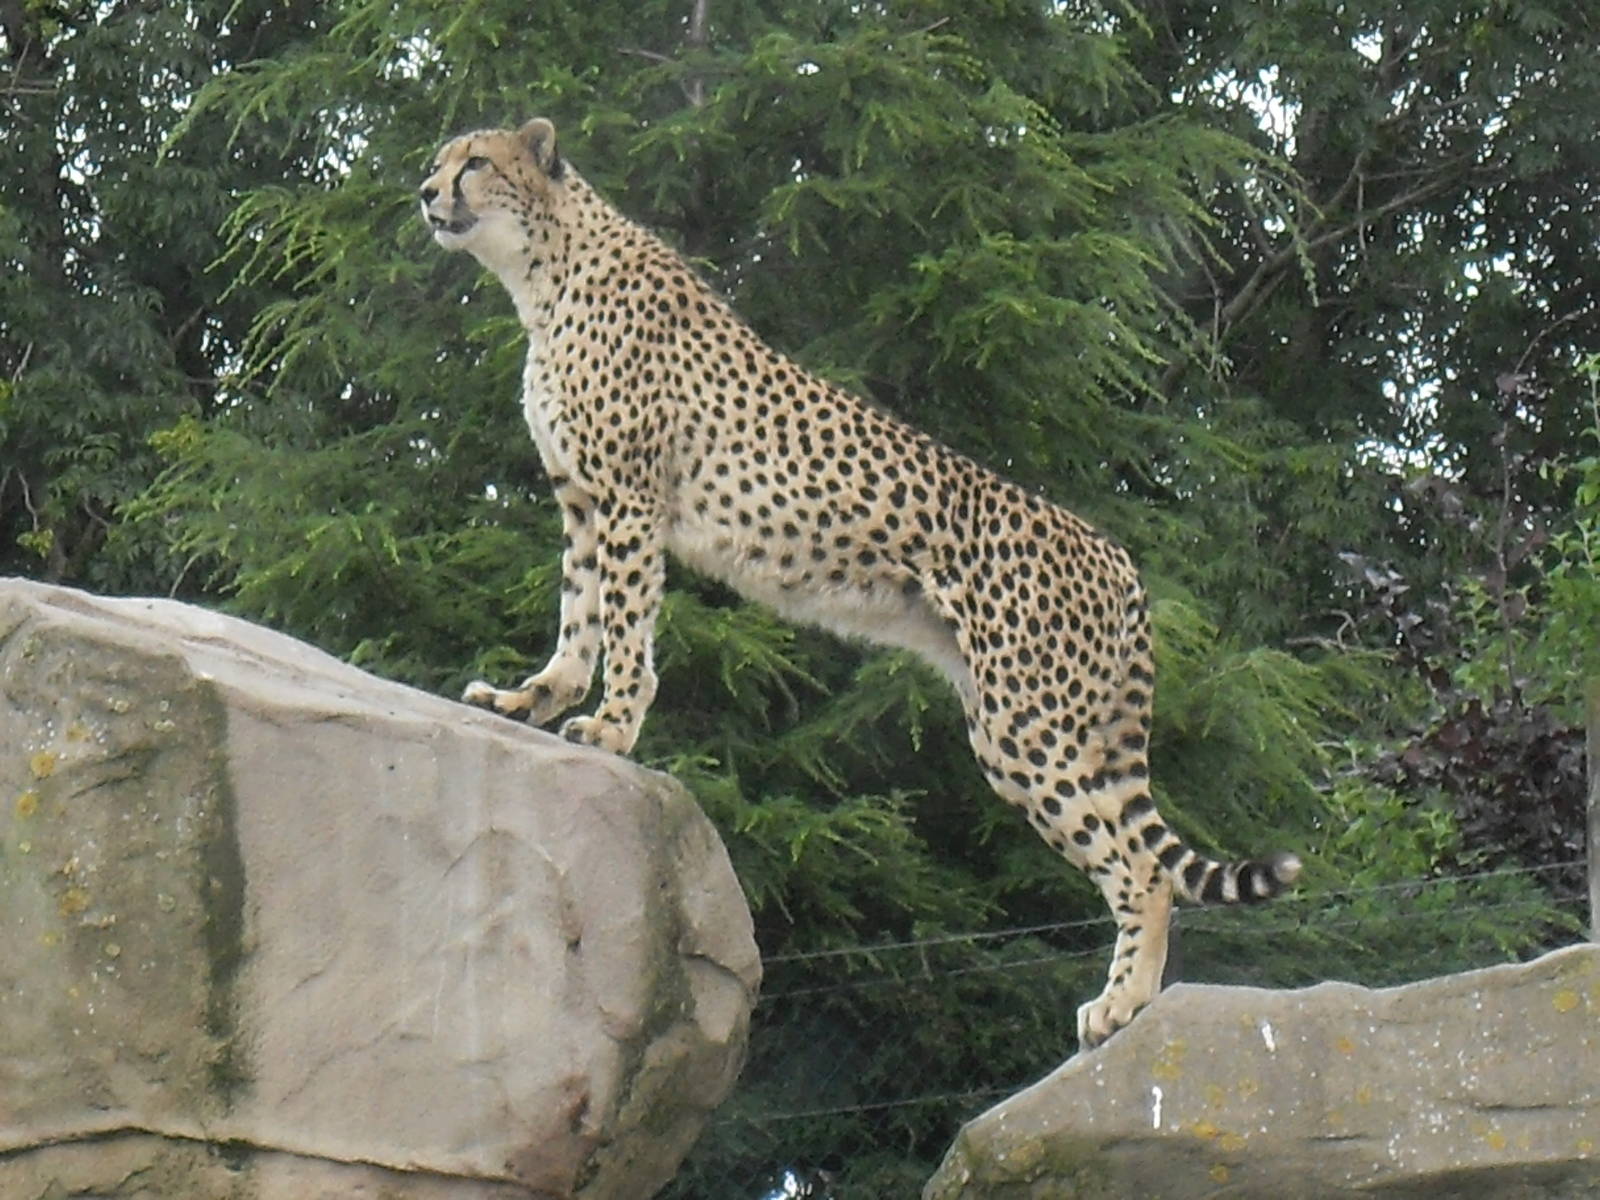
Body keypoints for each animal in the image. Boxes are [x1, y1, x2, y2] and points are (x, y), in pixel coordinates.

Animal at [418, 117, 1301, 1048]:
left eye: (475, 164)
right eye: (443, 161)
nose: (426, 192)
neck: (543, 268)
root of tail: (1119, 557)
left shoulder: (629, 500)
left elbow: (624, 629)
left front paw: (613, 726)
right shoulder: (584, 502)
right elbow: (578, 620)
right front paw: (532, 698)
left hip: (1027, 723)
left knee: (1143, 871)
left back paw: (1126, 1005)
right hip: (1021, 724)